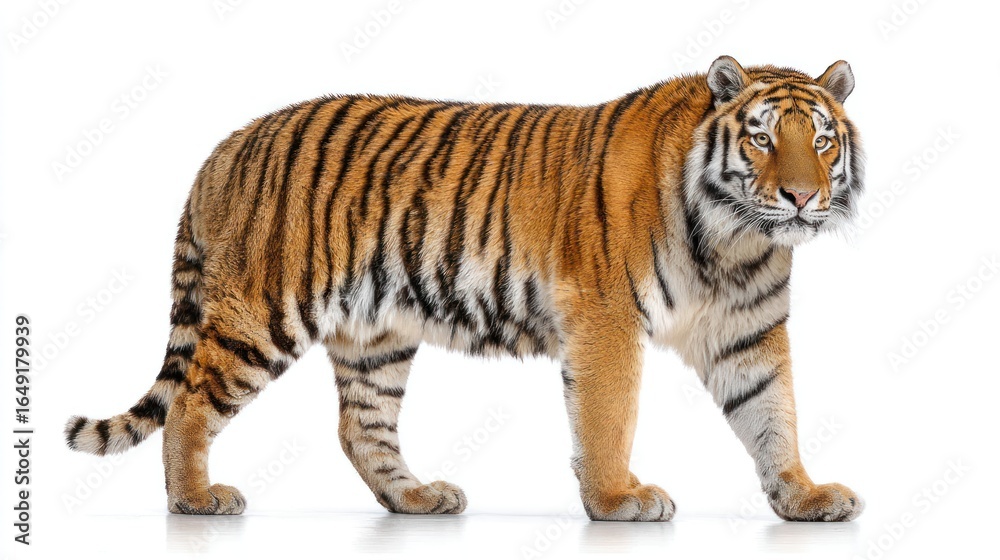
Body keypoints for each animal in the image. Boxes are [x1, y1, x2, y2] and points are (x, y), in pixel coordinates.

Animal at [65, 55, 864, 522]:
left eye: (822, 140)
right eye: (762, 138)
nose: (800, 197)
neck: (737, 241)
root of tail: (223, 147)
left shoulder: (748, 331)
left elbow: (773, 414)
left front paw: (804, 495)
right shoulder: (606, 320)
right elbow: (608, 418)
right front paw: (617, 499)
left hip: (375, 337)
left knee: (360, 427)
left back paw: (417, 498)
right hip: (261, 315)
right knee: (191, 402)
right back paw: (195, 499)